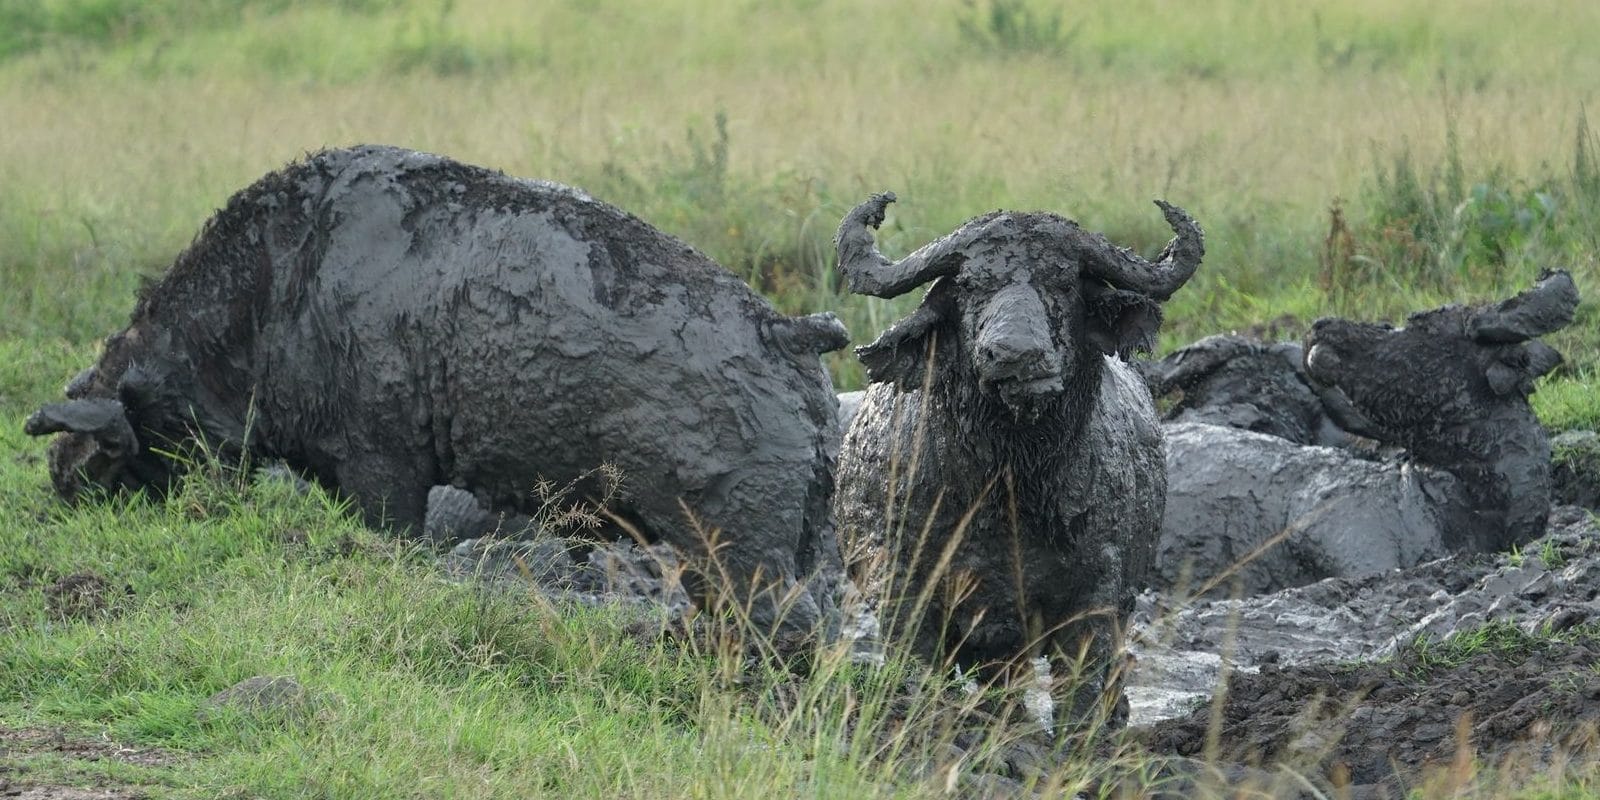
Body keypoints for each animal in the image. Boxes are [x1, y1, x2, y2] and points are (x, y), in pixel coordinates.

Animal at [25, 142, 851, 630]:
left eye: (103, 455)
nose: (57, 485)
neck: (272, 292)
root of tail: (788, 332)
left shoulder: (382, 470)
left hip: (741, 553)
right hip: (802, 540)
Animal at [825, 190, 1203, 723]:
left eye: (1063, 280)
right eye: (969, 285)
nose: (1014, 355)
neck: (1007, 484)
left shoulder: (1097, 597)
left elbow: (1081, 690)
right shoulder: (904, 590)